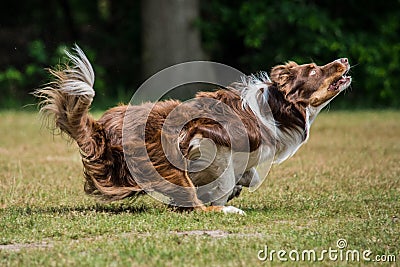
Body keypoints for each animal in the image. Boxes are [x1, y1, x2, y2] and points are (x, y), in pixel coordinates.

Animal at [36, 46, 352, 216]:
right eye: (313, 70)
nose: (344, 60)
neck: (275, 109)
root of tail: (102, 128)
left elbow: (247, 175)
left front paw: (237, 186)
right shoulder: (210, 135)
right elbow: (223, 172)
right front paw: (225, 196)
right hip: (164, 160)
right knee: (195, 206)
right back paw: (227, 210)